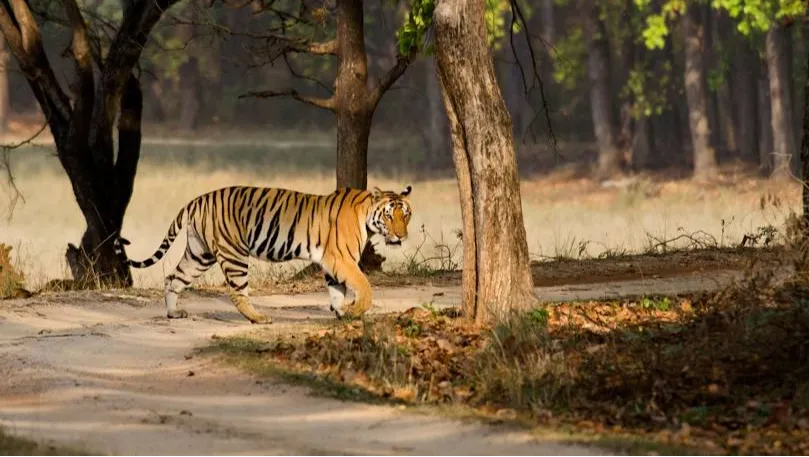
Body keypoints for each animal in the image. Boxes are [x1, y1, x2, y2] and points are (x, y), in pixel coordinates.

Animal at [113, 185, 414, 324]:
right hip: (234, 253)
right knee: (236, 291)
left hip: (199, 253)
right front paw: (355, 310)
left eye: (406, 214)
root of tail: (197, 200)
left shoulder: (332, 263)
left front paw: (342, 312)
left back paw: (174, 313)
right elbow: (364, 285)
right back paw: (258, 318)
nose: (401, 236)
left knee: (173, 279)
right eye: (390, 215)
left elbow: (337, 290)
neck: (366, 215)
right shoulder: (341, 259)